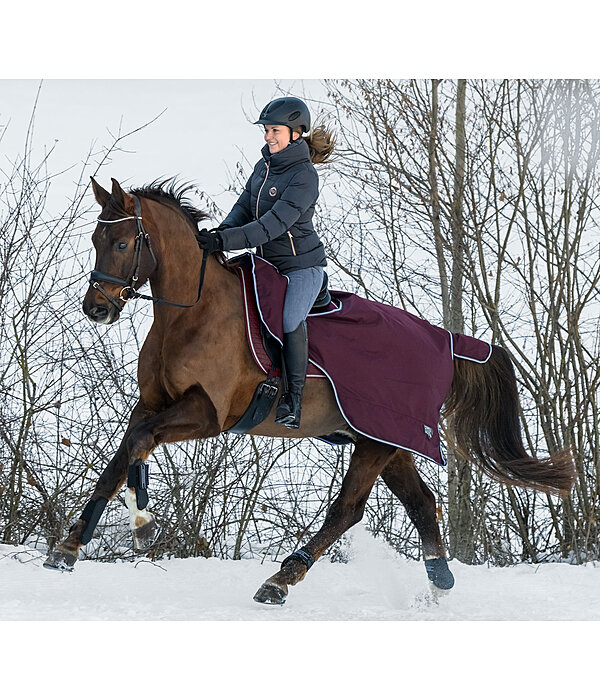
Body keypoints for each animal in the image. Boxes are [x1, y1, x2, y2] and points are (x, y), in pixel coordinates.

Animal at [43, 178, 576, 604]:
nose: (96, 308)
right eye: (96, 239)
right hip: (387, 441)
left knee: (348, 510)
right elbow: (123, 456)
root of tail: (444, 340)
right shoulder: (152, 404)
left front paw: (129, 528)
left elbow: (136, 444)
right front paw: (78, 543)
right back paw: (438, 586)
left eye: (123, 242)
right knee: (422, 503)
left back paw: (280, 580)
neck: (192, 313)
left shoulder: (206, 413)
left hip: (377, 442)